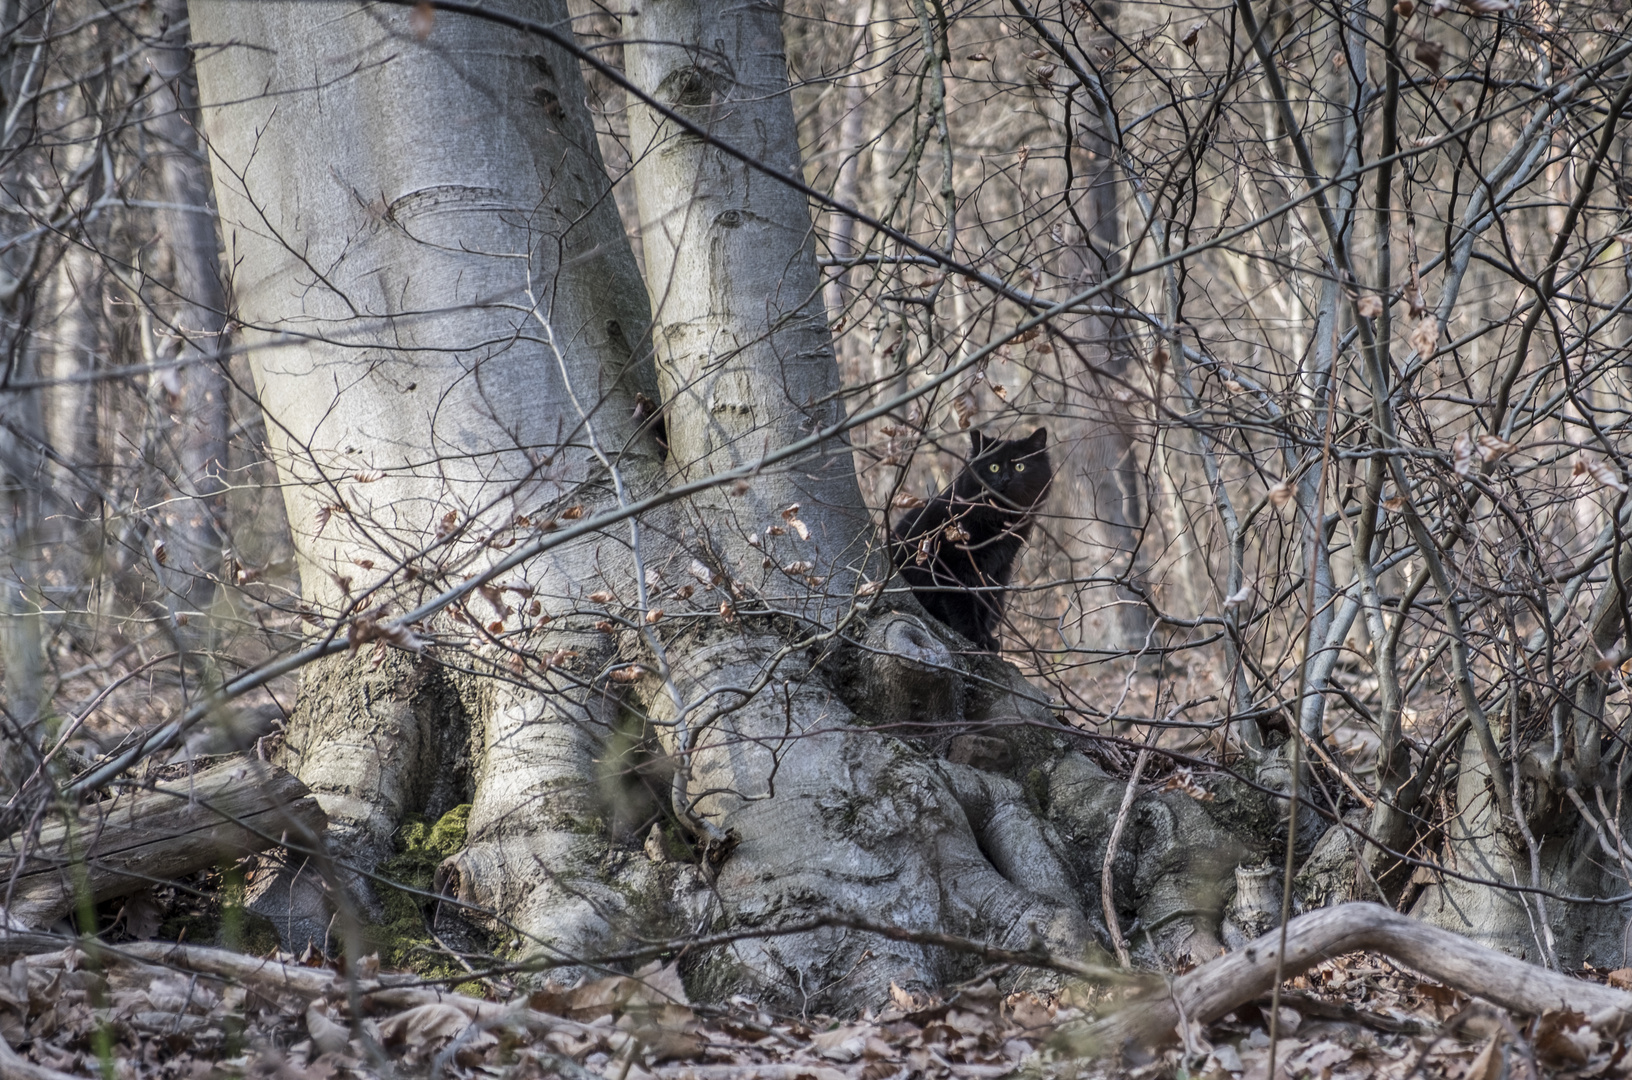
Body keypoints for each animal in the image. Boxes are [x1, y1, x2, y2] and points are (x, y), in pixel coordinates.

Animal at [887, 430, 1051, 652]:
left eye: (1020, 466)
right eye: (993, 467)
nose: (1006, 479)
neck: (997, 520)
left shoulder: (997, 569)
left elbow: (985, 603)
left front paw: (987, 639)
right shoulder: (954, 564)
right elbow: (963, 602)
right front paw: (973, 635)